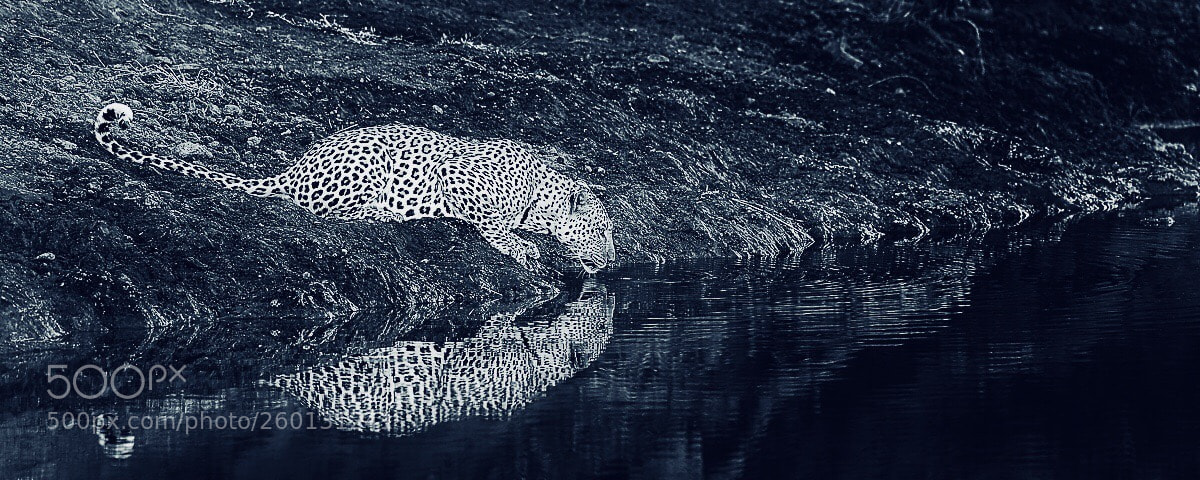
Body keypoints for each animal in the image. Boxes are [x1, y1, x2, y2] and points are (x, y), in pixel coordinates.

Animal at [93, 102, 616, 272]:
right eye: (602, 231)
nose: (612, 261)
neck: (540, 195)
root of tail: (294, 169)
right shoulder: (455, 175)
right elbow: (493, 222)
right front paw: (521, 246)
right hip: (371, 162)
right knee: (333, 212)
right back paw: (390, 213)